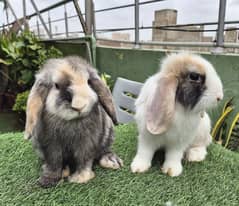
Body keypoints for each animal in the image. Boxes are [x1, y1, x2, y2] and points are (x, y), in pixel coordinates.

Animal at [25, 55, 122, 187]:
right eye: (56, 85)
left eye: (88, 82)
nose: (79, 106)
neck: (71, 120)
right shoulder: (50, 144)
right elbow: (53, 161)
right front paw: (47, 180)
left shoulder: (87, 142)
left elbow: (84, 159)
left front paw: (80, 178)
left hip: (108, 135)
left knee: (104, 151)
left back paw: (111, 161)